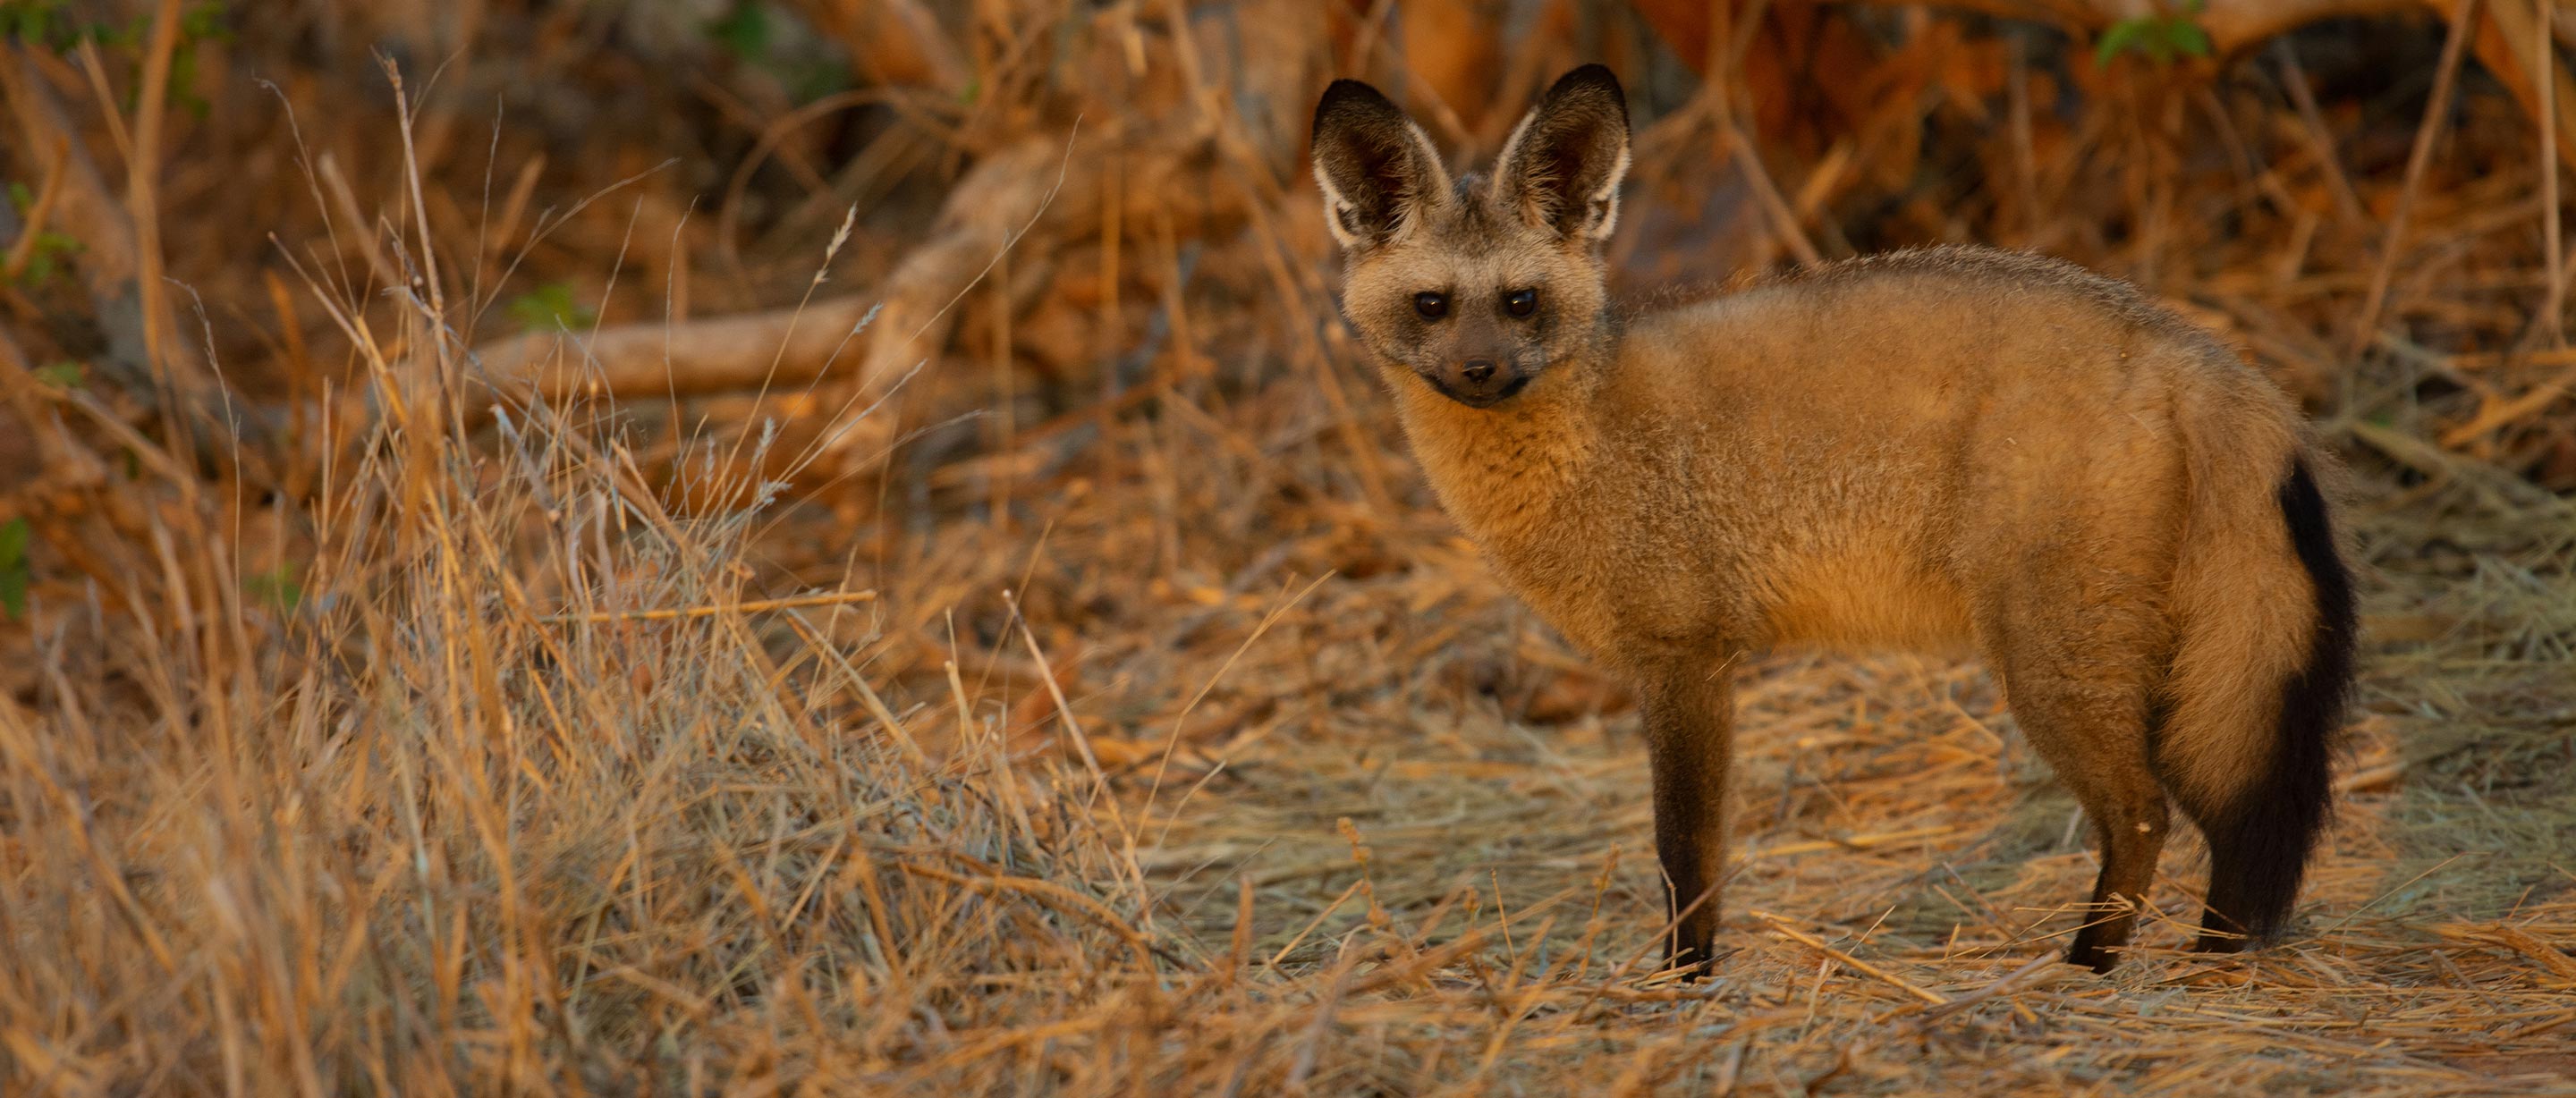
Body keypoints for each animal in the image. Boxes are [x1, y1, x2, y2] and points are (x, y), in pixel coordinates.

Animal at [1309, 62, 2360, 968]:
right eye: (1433, 306)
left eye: (1520, 301)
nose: (1480, 371)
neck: (1588, 443)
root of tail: (2191, 348)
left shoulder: (1686, 660)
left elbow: (1686, 856)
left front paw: (1683, 984)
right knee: (2214, 822)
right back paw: (2204, 961)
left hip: (2057, 667)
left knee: (2147, 814)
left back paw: (2088, 967)